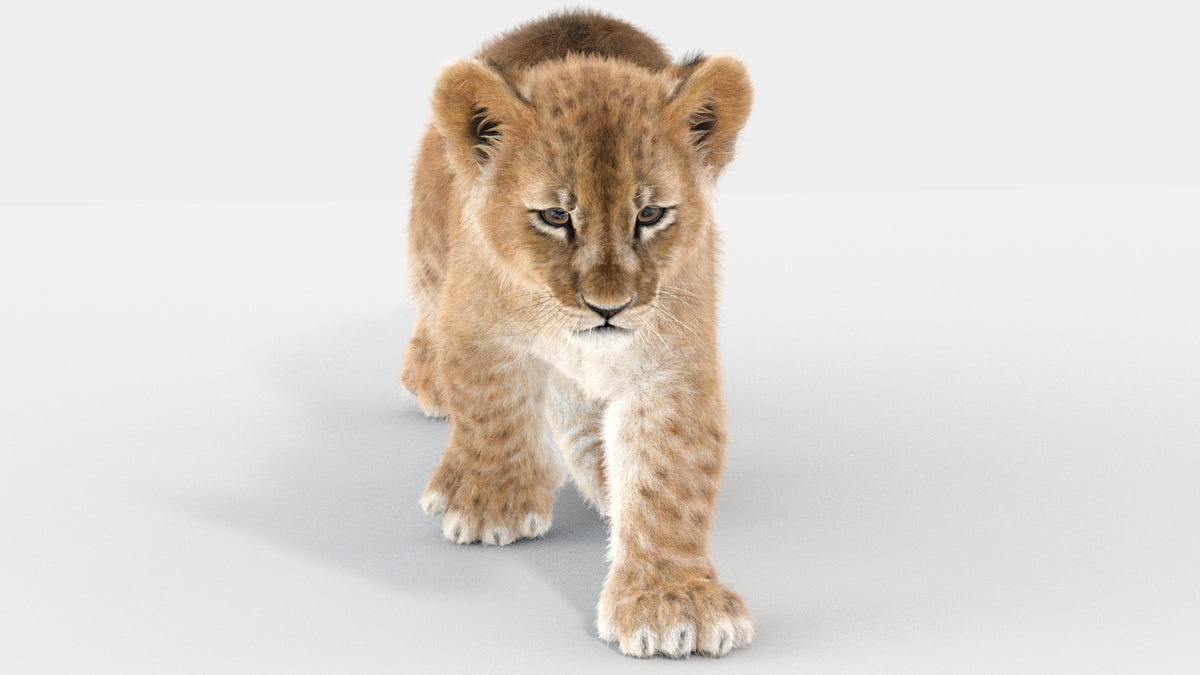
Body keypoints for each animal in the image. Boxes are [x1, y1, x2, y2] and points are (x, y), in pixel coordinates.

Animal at [401, 10, 754, 658]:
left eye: (650, 215)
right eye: (555, 216)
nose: (608, 308)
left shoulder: (671, 365)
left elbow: (667, 475)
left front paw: (674, 603)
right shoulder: (478, 328)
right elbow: (493, 410)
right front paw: (492, 507)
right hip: (430, 252)